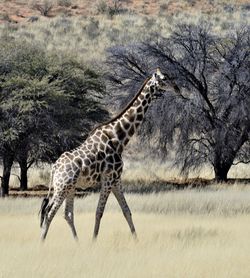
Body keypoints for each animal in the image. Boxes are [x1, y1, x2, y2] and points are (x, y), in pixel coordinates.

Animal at [40, 68, 167, 241]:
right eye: (164, 79)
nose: (174, 88)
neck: (119, 139)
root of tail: (54, 167)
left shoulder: (116, 180)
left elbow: (126, 210)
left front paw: (136, 240)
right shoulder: (107, 178)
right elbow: (99, 212)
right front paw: (94, 241)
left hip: (69, 187)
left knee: (67, 214)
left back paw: (77, 242)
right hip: (62, 187)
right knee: (49, 212)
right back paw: (42, 242)